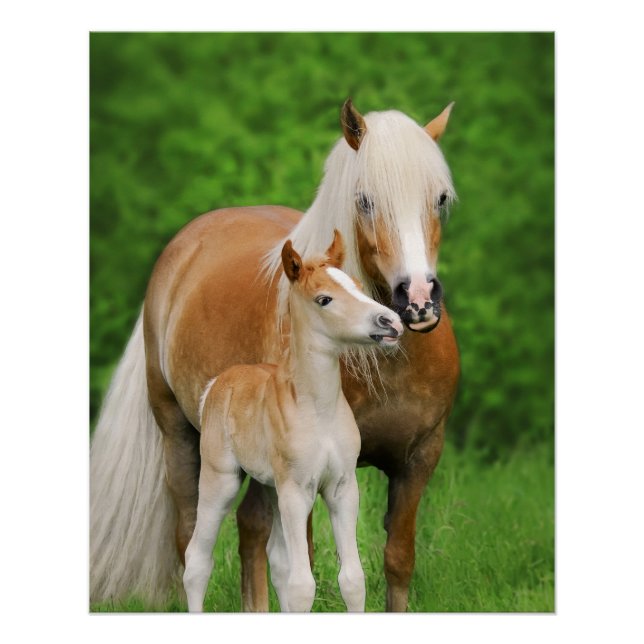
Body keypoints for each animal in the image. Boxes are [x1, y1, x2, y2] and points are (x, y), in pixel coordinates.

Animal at [184, 231, 404, 612]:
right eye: (324, 299)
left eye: (358, 286)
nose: (390, 322)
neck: (319, 410)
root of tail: (218, 383)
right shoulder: (297, 492)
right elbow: (303, 586)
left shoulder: (343, 488)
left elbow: (352, 580)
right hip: (221, 479)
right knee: (197, 559)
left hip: (272, 486)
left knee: (278, 561)